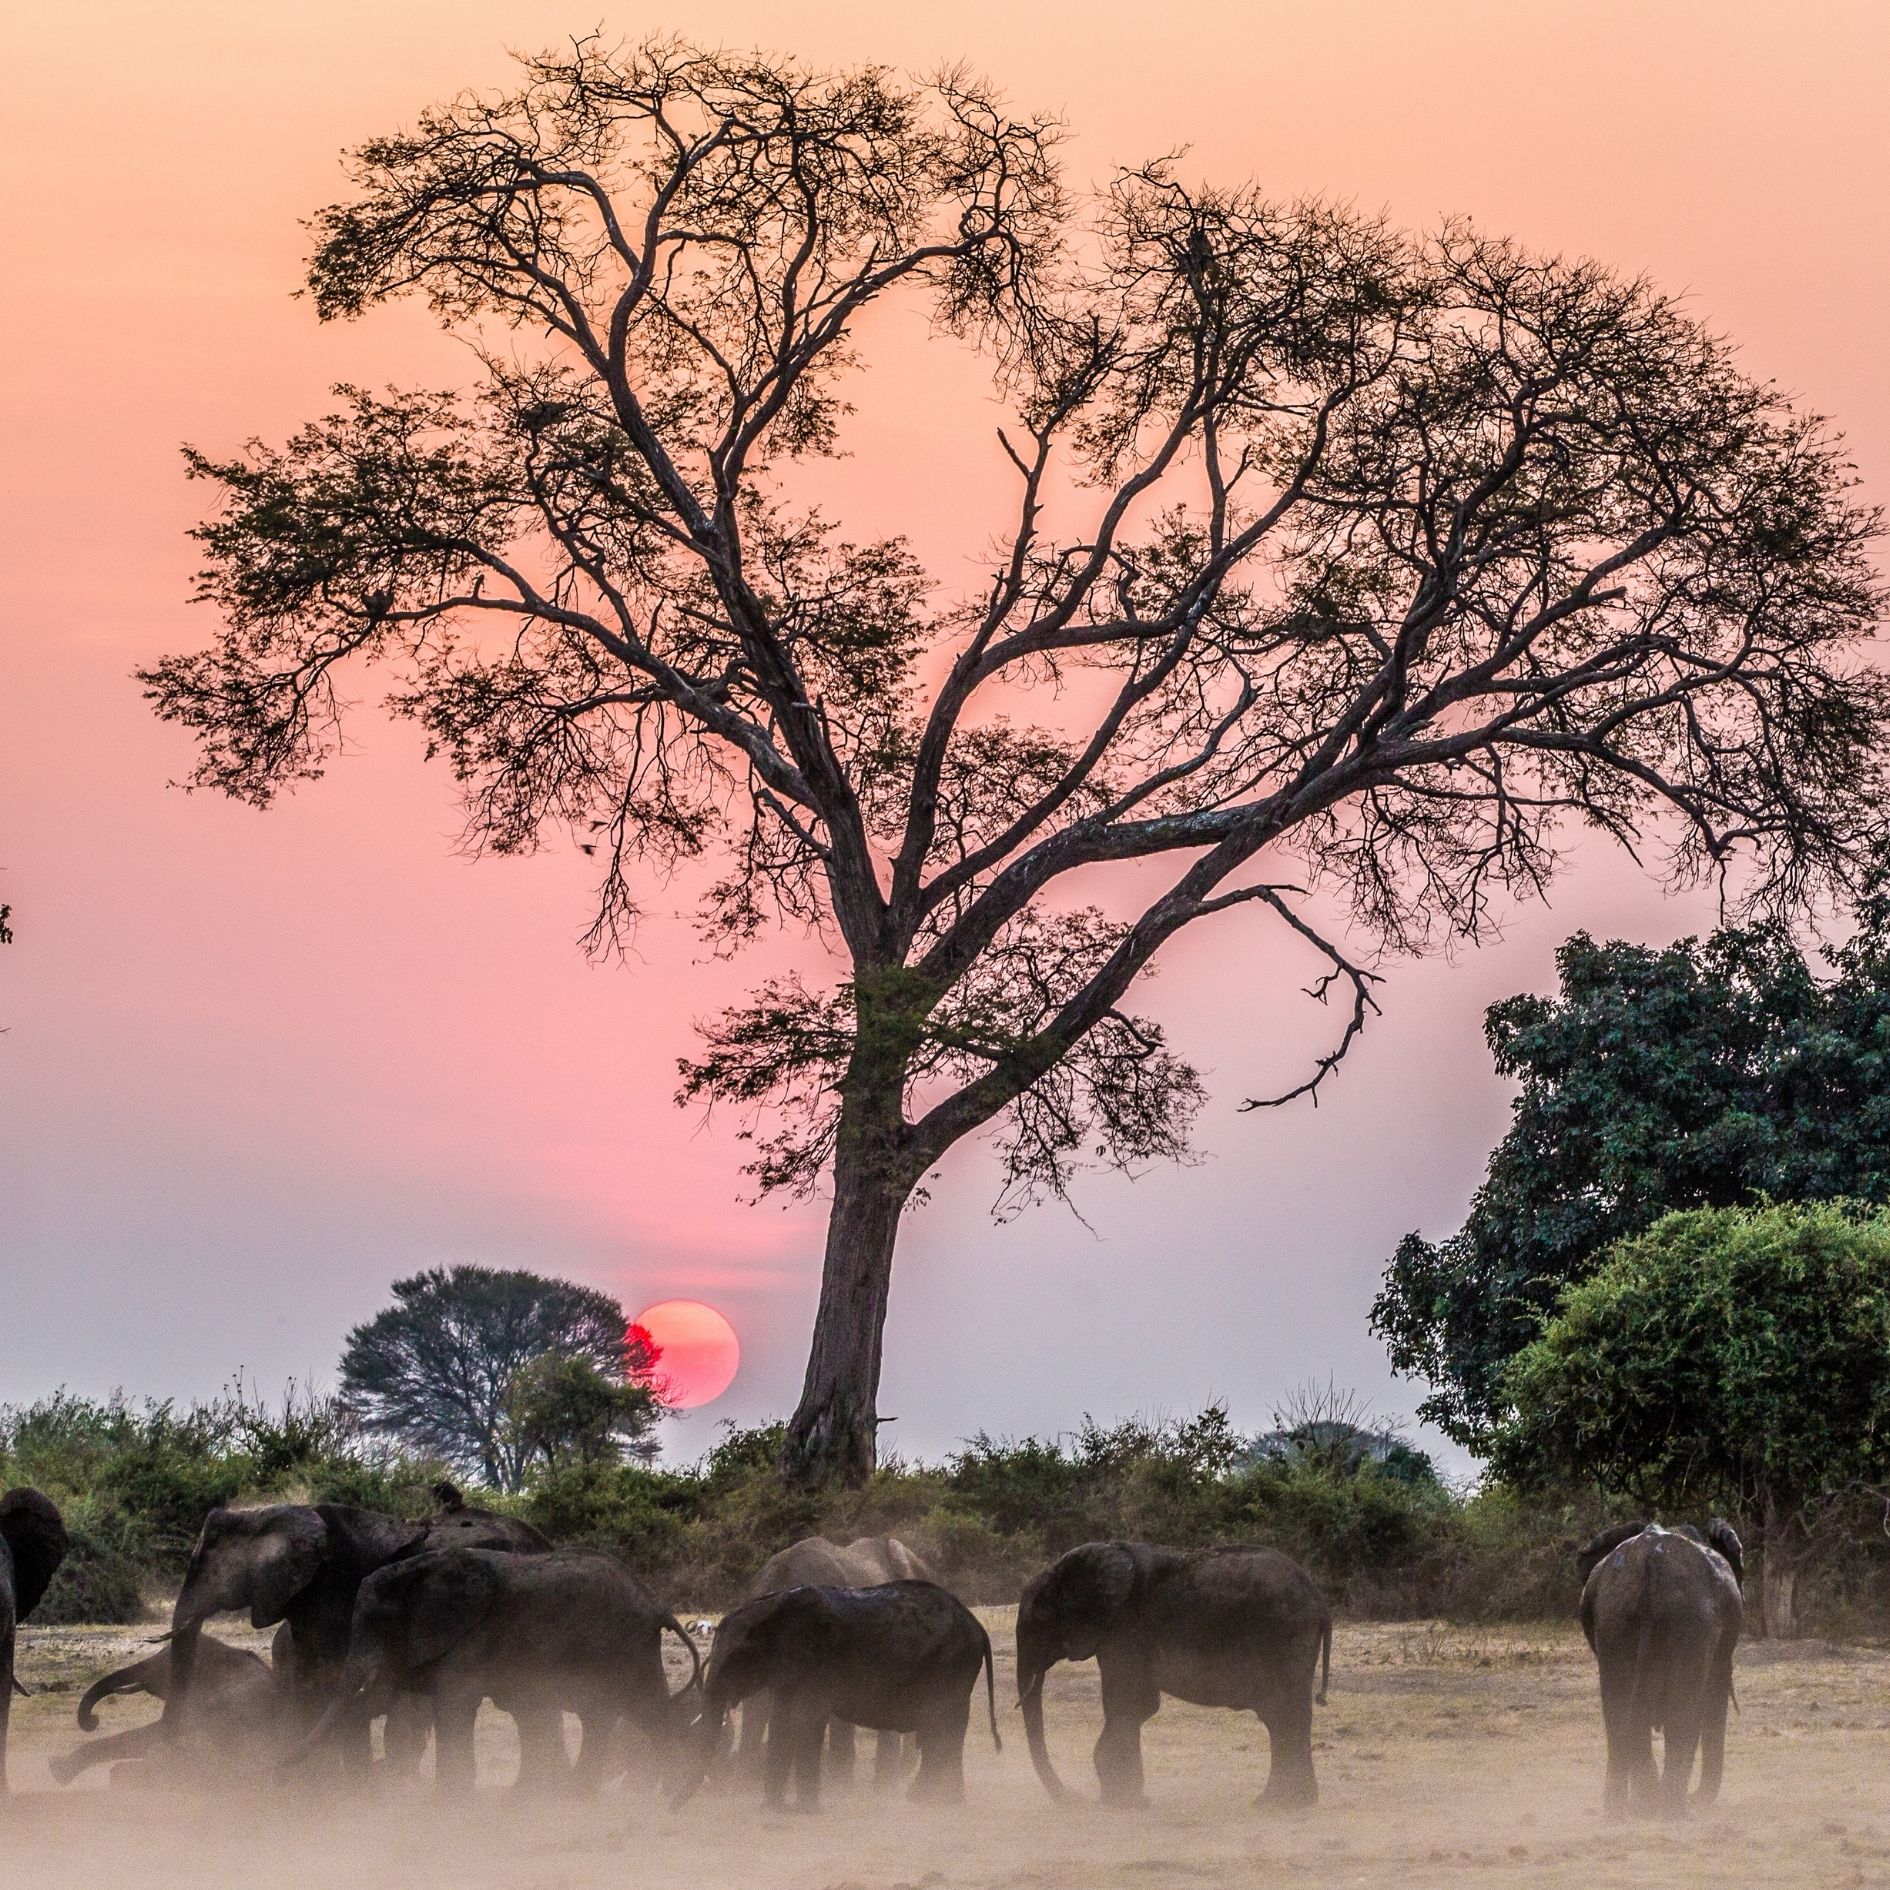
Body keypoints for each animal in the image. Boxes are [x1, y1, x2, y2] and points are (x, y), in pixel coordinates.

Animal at [293, 1546, 701, 1795]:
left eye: (378, 1622)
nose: (281, 1773)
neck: (418, 1571)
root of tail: (657, 1605)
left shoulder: (470, 1637)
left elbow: (454, 1706)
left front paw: (448, 1804)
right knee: (607, 1716)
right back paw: (576, 1794)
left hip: (626, 1647)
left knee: (646, 1712)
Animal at [681, 1579, 999, 1812]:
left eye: (736, 1661)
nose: (675, 1807)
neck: (770, 1608)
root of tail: (977, 1627)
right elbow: (782, 1720)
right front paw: (771, 1809)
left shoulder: (816, 1663)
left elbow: (806, 1719)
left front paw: (806, 1811)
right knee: (941, 1730)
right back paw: (927, 1800)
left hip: (952, 1666)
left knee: (944, 1726)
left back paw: (937, 1802)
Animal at [1016, 1542, 1331, 1811]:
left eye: (1040, 1620)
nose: (1077, 1799)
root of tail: (1318, 1597)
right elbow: (1138, 1707)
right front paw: (1128, 1801)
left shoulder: (1125, 1630)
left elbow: (1129, 1704)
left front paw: (1119, 1803)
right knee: (1283, 1719)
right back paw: (1285, 1802)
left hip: (1285, 1637)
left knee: (1283, 1715)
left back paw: (1280, 1805)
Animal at [1576, 1519, 1745, 1818]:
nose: (1696, 1798)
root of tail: (1651, 1565)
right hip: (1692, 1622)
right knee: (1684, 1708)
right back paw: (1672, 1808)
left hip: (1615, 1618)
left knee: (1618, 1706)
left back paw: (1626, 1809)